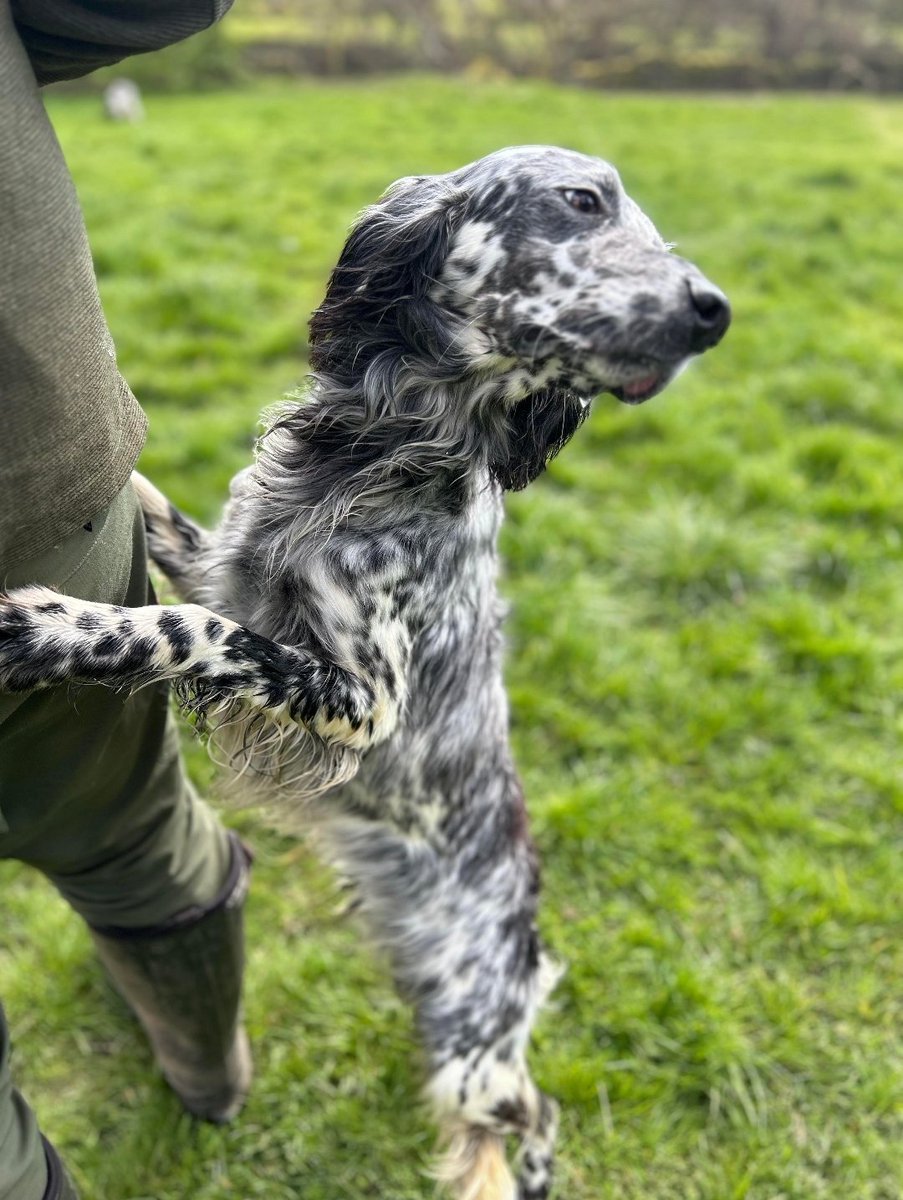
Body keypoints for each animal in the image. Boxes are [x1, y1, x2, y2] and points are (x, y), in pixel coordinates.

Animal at [0, 145, 730, 1195]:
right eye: (582, 202)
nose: (715, 309)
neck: (390, 450)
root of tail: (529, 951)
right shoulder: (221, 560)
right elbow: (161, 526)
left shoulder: (362, 699)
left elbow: (189, 629)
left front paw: (47, 630)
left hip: (472, 1053)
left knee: (533, 1113)